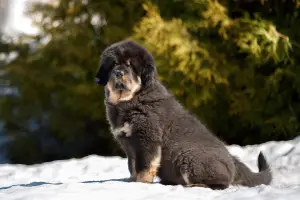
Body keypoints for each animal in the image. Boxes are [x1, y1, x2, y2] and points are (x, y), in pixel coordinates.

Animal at [95, 39, 274, 188]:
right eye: (114, 64)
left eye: (130, 65)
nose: (119, 73)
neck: (131, 99)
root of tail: (232, 161)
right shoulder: (129, 145)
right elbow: (132, 166)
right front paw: (131, 181)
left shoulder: (147, 140)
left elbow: (145, 166)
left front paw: (141, 183)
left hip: (188, 158)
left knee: (221, 183)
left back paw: (194, 185)